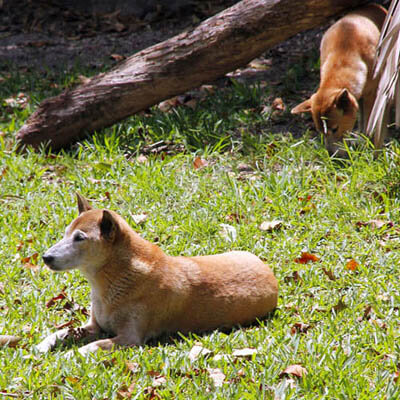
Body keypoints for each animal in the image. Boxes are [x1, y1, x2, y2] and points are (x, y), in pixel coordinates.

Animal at [38, 194, 278, 356]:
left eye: (79, 238)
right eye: (66, 233)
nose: (45, 257)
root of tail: (268, 270)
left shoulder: (130, 337)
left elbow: (90, 347)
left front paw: (70, 355)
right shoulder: (94, 326)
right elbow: (62, 332)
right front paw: (42, 345)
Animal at [290, 4, 388, 155]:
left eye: (335, 129)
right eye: (319, 131)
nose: (331, 155)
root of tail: (375, 5)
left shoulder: (371, 93)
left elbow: (369, 122)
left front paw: (370, 145)